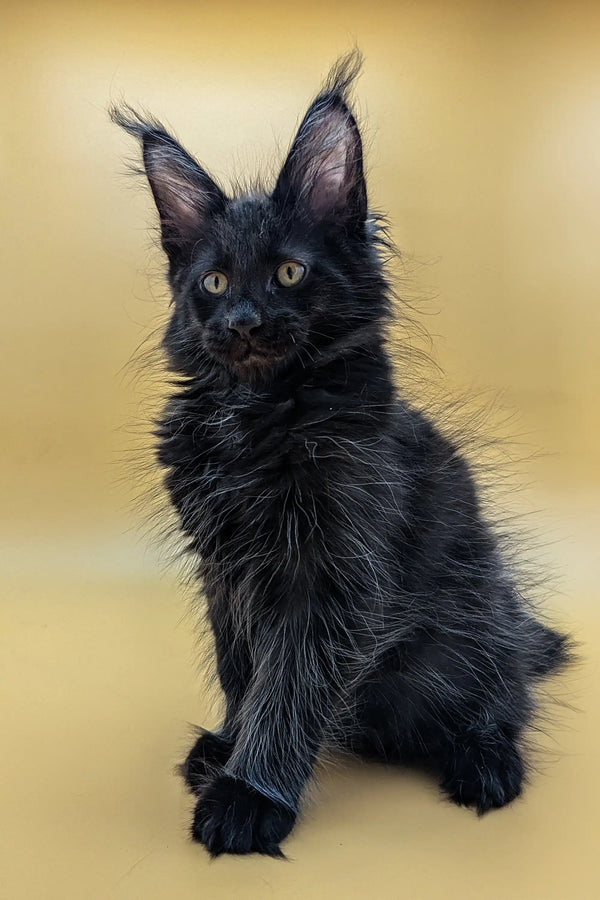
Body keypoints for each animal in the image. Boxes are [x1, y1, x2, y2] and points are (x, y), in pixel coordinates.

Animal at [111, 54, 568, 856]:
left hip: (471, 622)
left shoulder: (329, 574)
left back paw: (485, 762)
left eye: (290, 273)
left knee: (503, 696)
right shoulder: (225, 572)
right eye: (215, 281)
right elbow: (245, 674)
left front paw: (249, 796)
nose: (243, 321)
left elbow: (287, 688)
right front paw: (228, 748)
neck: (254, 417)